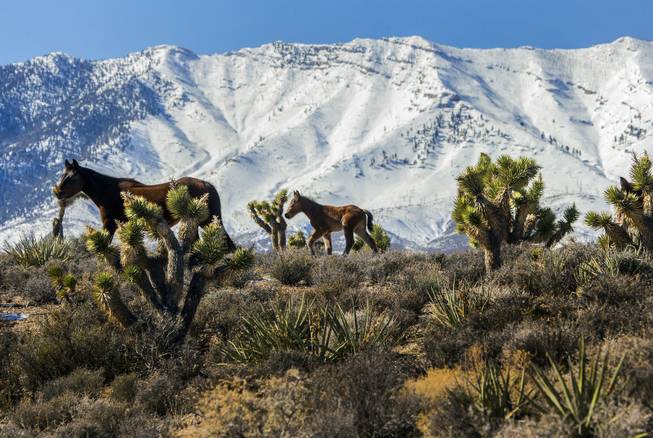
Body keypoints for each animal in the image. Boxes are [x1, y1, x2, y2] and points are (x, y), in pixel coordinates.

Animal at [53, 160, 236, 250]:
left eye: (70, 177)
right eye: (62, 175)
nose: (58, 192)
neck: (107, 190)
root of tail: (207, 185)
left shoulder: (109, 224)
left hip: (208, 220)